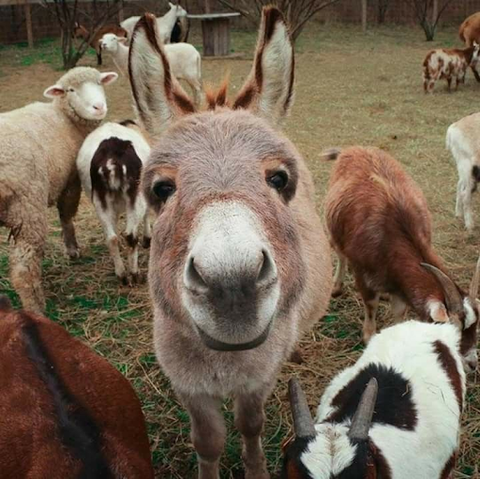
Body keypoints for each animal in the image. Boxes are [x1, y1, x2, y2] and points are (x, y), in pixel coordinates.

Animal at [0, 68, 117, 316]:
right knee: (24, 270)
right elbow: (66, 215)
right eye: (71, 90)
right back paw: (36, 310)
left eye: (99, 82)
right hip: (27, 208)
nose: (99, 107)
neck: (64, 118)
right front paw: (72, 249)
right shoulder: (71, 181)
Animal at [76, 121, 151, 284]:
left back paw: (121, 275)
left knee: (111, 238)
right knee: (130, 235)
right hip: (135, 195)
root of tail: (111, 163)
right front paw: (147, 240)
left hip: (100, 199)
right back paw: (135, 274)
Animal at [324, 148, 478, 374]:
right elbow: (370, 305)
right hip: (333, 230)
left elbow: (399, 311)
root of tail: (352, 148)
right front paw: (368, 336)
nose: (473, 364)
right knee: (340, 253)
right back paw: (336, 286)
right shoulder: (363, 273)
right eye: (453, 333)